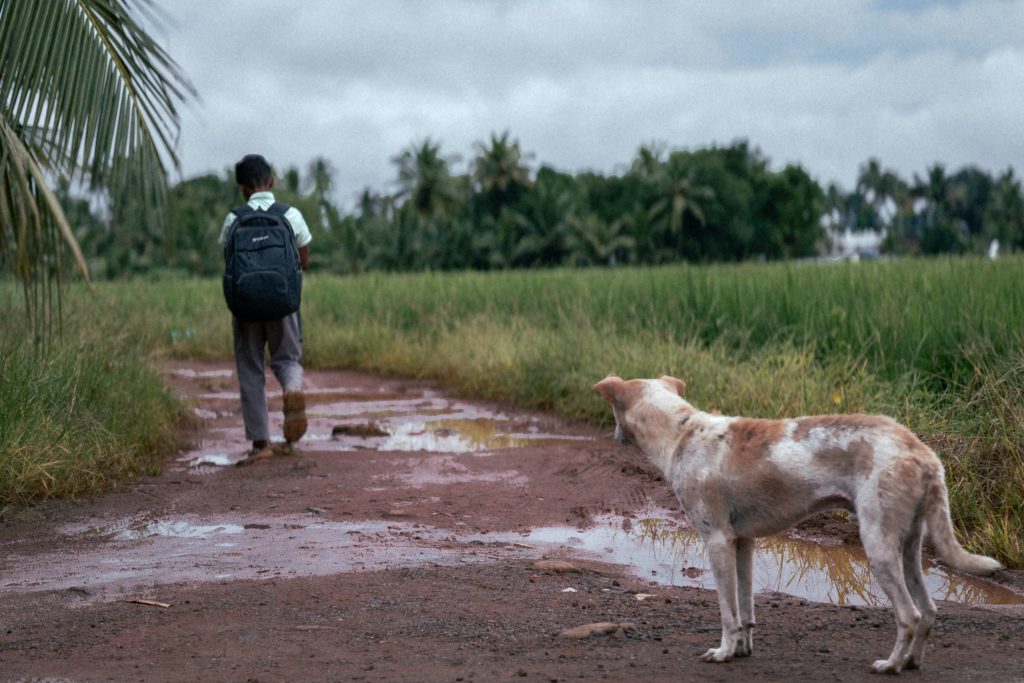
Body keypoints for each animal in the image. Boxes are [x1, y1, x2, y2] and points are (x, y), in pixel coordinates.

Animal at [593, 376, 999, 675]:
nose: (613, 436)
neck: (682, 433)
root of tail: (922, 451)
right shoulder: (743, 542)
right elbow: (746, 609)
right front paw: (742, 649)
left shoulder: (717, 541)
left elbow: (727, 612)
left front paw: (723, 652)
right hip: (909, 548)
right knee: (929, 611)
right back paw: (913, 662)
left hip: (879, 546)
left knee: (910, 615)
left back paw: (891, 665)